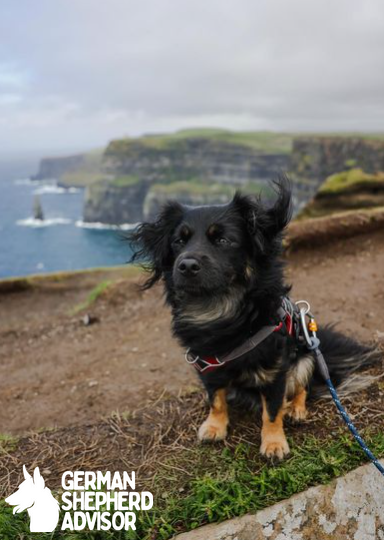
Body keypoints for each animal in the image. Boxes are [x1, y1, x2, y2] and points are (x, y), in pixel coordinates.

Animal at [130, 179, 378, 458]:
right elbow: (215, 399)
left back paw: (296, 409)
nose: (186, 265)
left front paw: (273, 443)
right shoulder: (208, 367)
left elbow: (272, 410)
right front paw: (215, 426)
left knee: (303, 387)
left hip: (306, 356)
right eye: (178, 242)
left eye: (223, 240)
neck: (220, 312)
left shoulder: (275, 370)